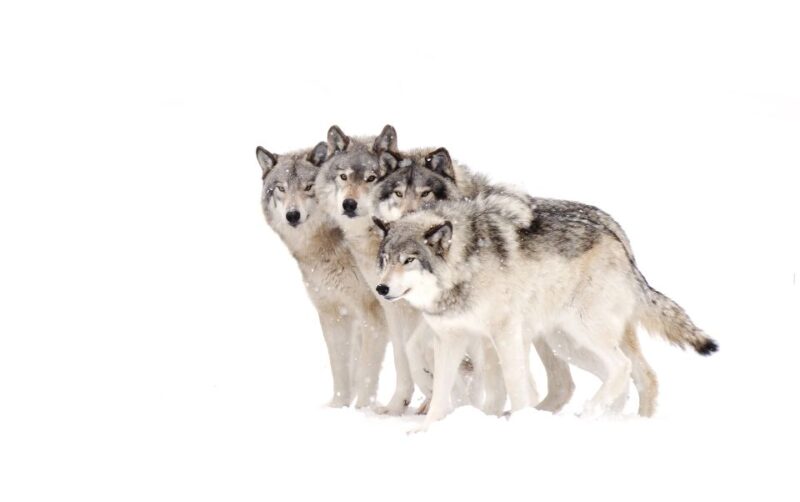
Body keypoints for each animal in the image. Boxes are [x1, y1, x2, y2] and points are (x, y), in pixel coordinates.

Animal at [256, 142, 388, 408]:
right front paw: (339, 407)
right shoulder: (333, 313)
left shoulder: (373, 314)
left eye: (308, 187)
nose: (292, 215)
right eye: (281, 188)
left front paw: (362, 410)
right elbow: (341, 368)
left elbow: (366, 371)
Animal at [374, 189, 717, 429]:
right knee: (631, 375)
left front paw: (521, 423)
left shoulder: (504, 335)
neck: (465, 266)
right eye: (386, 260)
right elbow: (443, 391)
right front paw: (426, 430)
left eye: (409, 260)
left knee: (622, 368)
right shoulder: (452, 339)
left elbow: (514, 385)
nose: (381, 288)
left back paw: (590, 414)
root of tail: (619, 240)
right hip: (567, 345)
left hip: (582, 331)